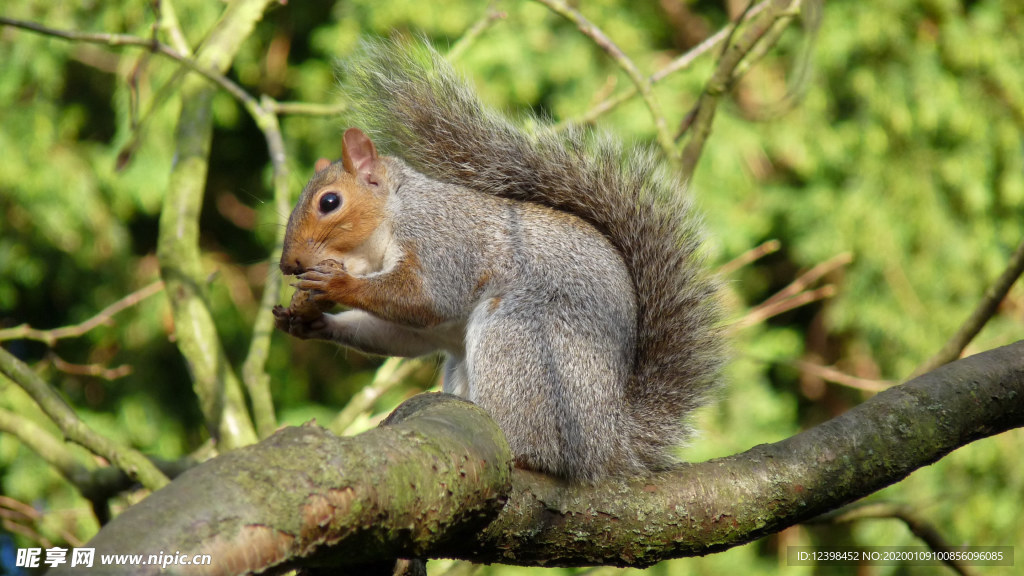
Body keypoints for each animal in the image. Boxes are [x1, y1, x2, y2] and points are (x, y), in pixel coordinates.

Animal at [268, 40, 724, 479]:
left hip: (518, 339)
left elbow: (426, 299)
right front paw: (307, 321)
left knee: (536, 445)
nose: (289, 264)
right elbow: (406, 335)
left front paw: (337, 285)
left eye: (330, 202)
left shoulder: (443, 241)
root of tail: (605, 442)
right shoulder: (429, 328)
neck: (392, 219)